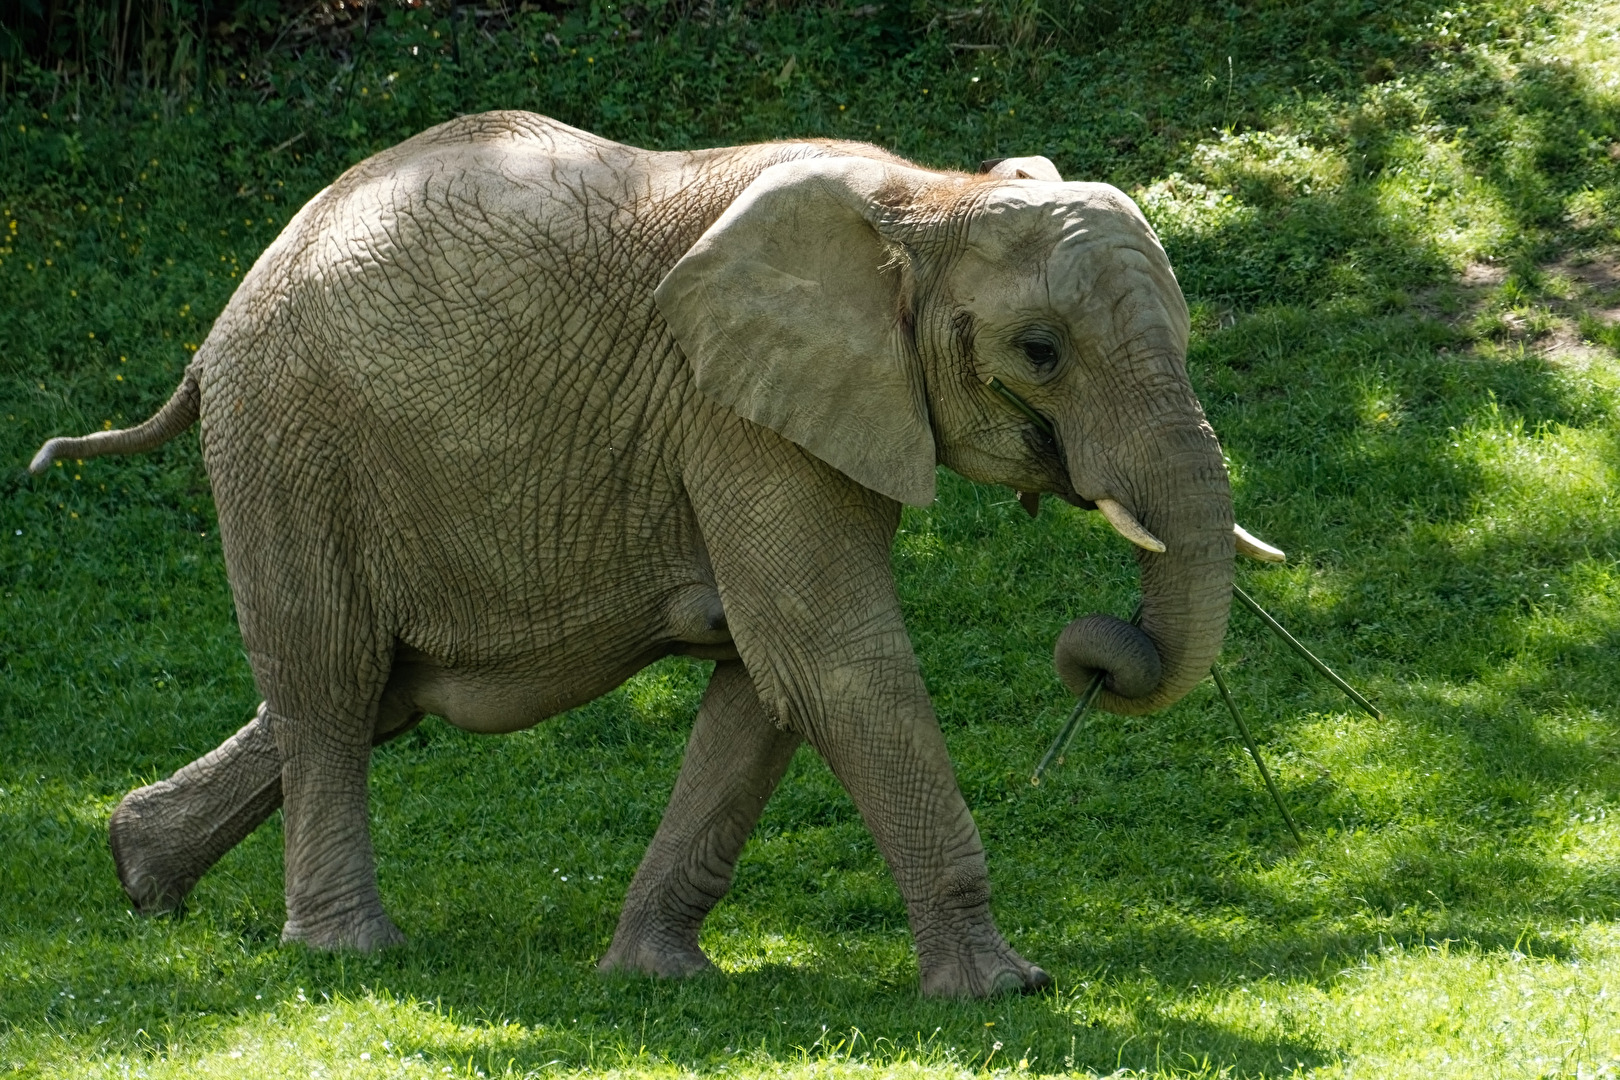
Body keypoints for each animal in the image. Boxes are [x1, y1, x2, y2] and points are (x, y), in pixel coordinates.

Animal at [30, 111, 1283, 998]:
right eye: (1041, 353)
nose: (1101, 648)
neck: (931, 197)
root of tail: (215, 332)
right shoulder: (731, 410)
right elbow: (833, 656)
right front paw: (1005, 990)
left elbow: (767, 677)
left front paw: (656, 977)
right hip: (291, 436)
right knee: (331, 682)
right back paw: (350, 955)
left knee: (371, 691)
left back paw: (140, 874)